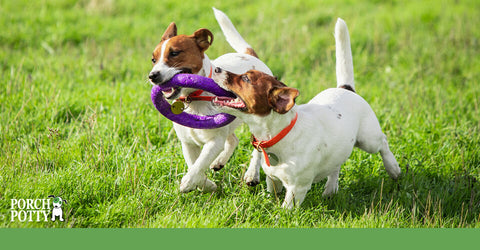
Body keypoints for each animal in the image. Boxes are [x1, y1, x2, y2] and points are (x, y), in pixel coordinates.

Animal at [148, 6, 272, 192]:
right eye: (153, 60)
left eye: (175, 53)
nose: (152, 76)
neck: (193, 98)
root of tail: (250, 56)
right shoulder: (188, 143)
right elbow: (194, 165)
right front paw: (206, 184)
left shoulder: (214, 141)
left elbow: (199, 164)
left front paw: (188, 182)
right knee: (233, 140)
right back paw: (219, 162)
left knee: (258, 147)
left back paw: (252, 174)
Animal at [214, 18, 402, 208]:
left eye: (246, 79)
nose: (216, 69)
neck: (280, 134)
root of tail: (346, 88)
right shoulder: (273, 180)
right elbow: (273, 193)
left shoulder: (297, 189)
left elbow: (285, 209)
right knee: (336, 166)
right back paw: (330, 189)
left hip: (368, 139)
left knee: (383, 142)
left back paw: (393, 168)